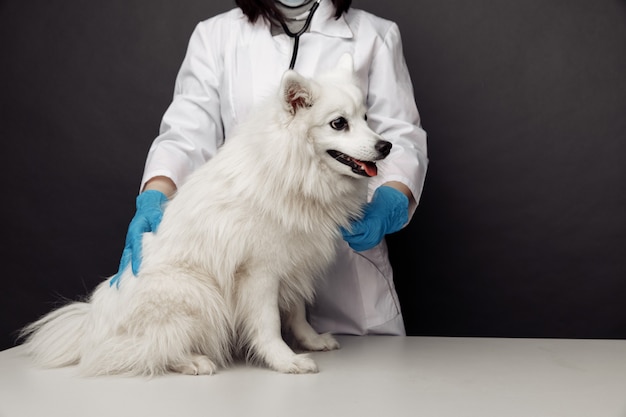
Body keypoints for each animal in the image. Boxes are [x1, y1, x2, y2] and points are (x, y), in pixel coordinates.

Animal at [23, 53, 390, 376]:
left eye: (366, 118)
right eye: (339, 123)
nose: (385, 146)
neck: (293, 171)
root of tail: (90, 327)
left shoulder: (293, 263)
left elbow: (298, 312)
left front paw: (310, 341)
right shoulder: (260, 273)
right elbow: (269, 323)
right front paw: (284, 360)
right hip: (196, 291)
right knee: (147, 350)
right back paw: (193, 361)